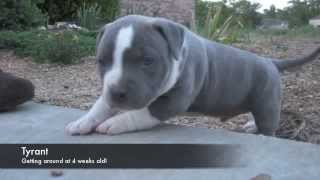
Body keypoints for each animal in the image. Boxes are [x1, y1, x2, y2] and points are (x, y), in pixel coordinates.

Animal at [65, 15, 320, 136]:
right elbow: (101, 104)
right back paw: (250, 125)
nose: (117, 93)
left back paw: (261, 132)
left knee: (268, 125)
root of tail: (270, 61)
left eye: (148, 61)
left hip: (267, 102)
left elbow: (141, 113)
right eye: (102, 62)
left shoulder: (173, 100)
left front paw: (115, 123)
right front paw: (83, 121)